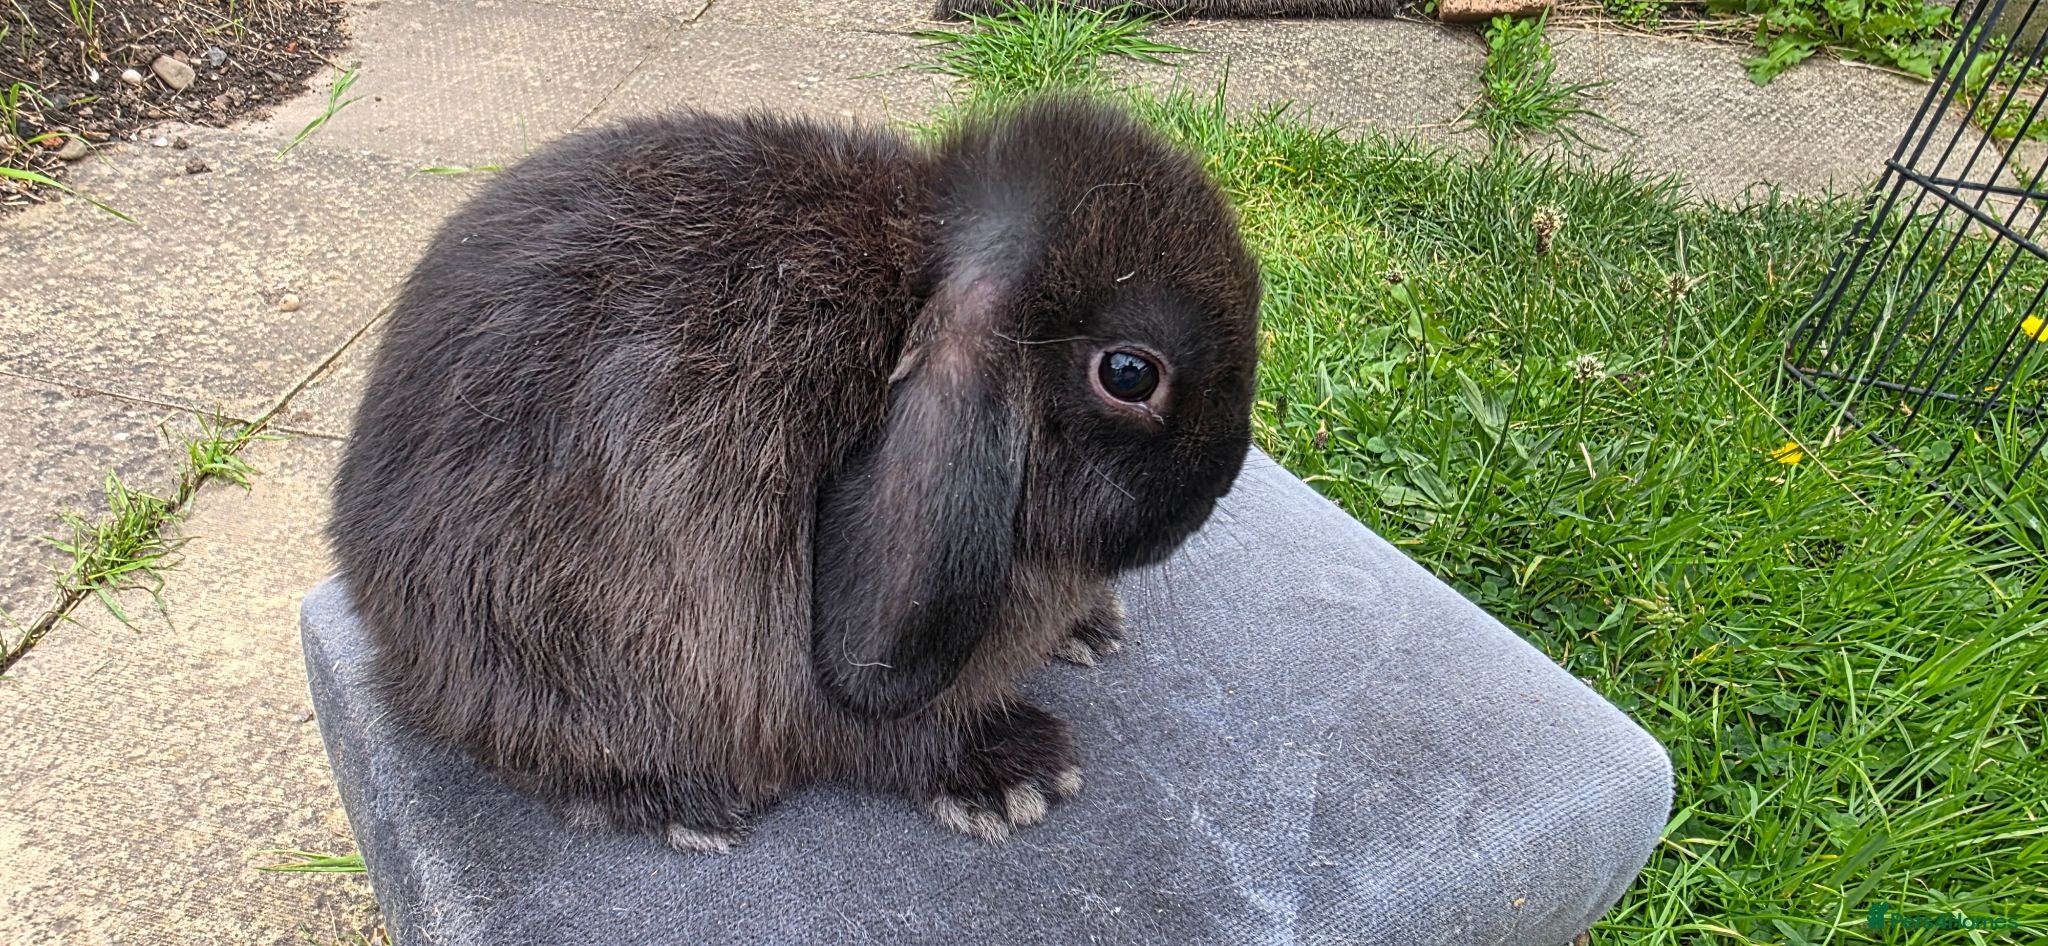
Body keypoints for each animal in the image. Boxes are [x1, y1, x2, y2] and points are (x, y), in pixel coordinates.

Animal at [327, 94, 1262, 852]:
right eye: (1130, 375)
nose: (1216, 489)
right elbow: (883, 737)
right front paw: (1016, 774)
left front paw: (1089, 628)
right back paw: (689, 807)